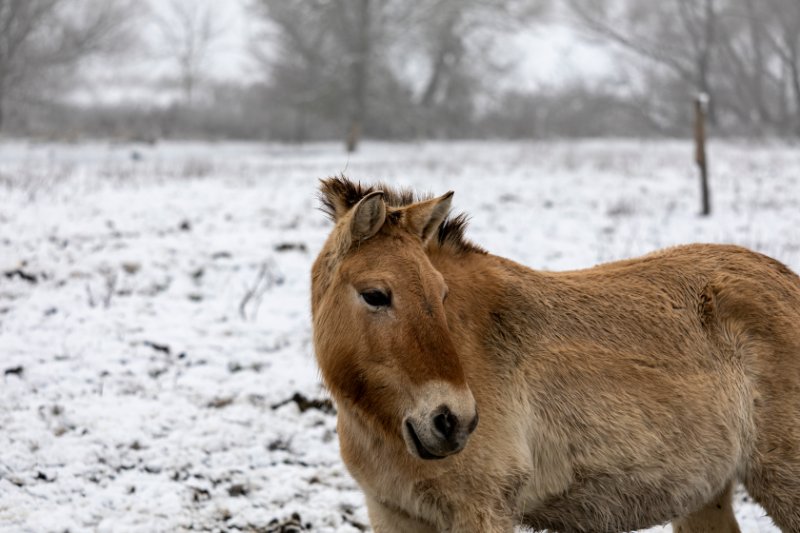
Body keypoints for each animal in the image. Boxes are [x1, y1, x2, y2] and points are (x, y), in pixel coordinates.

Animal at [308, 177, 800, 528]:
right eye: (375, 295)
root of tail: (784, 277)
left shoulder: (482, 512)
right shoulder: (394, 513)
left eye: (441, 294)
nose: (452, 421)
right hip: (706, 493)